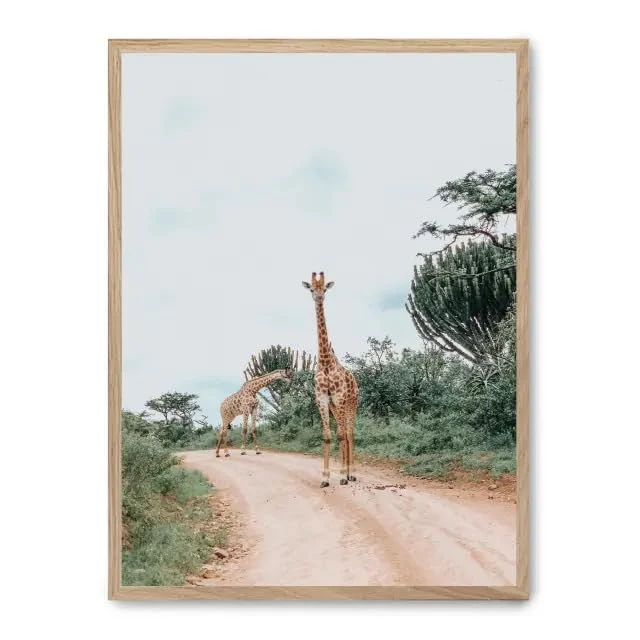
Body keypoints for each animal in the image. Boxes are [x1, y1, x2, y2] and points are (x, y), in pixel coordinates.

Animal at [302, 272, 359, 487]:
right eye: (311, 288)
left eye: (325, 288)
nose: (319, 297)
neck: (326, 363)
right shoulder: (322, 398)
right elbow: (327, 436)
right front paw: (325, 477)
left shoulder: (339, 397)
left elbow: (342, 434)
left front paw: (342, 475)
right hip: (335, 407)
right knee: (343, 433)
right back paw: (347, 472)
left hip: (351, 403)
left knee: (349, 433)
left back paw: (351, 473)